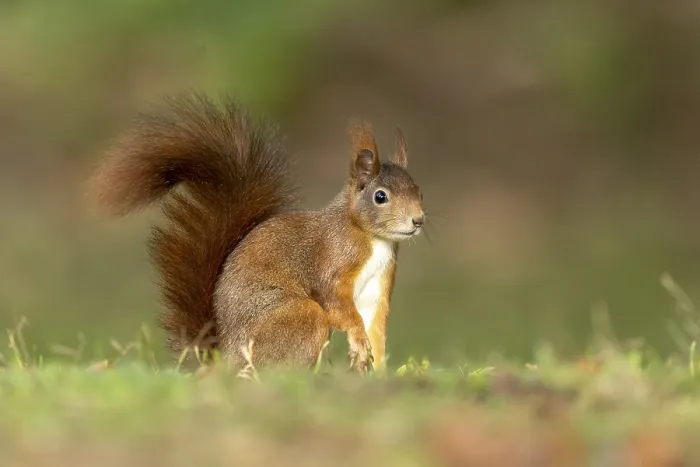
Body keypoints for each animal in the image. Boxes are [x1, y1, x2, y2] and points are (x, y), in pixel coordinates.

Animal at [88, 92, 425, 372]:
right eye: (380, 196)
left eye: (419, 190)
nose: (418, 220)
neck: (372, 239)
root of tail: (225, 358)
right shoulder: (334, 261)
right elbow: (337, 303)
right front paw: (359, 344)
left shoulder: (379, 285)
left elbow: (375, 327)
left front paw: (374, 366)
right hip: (299, 317)